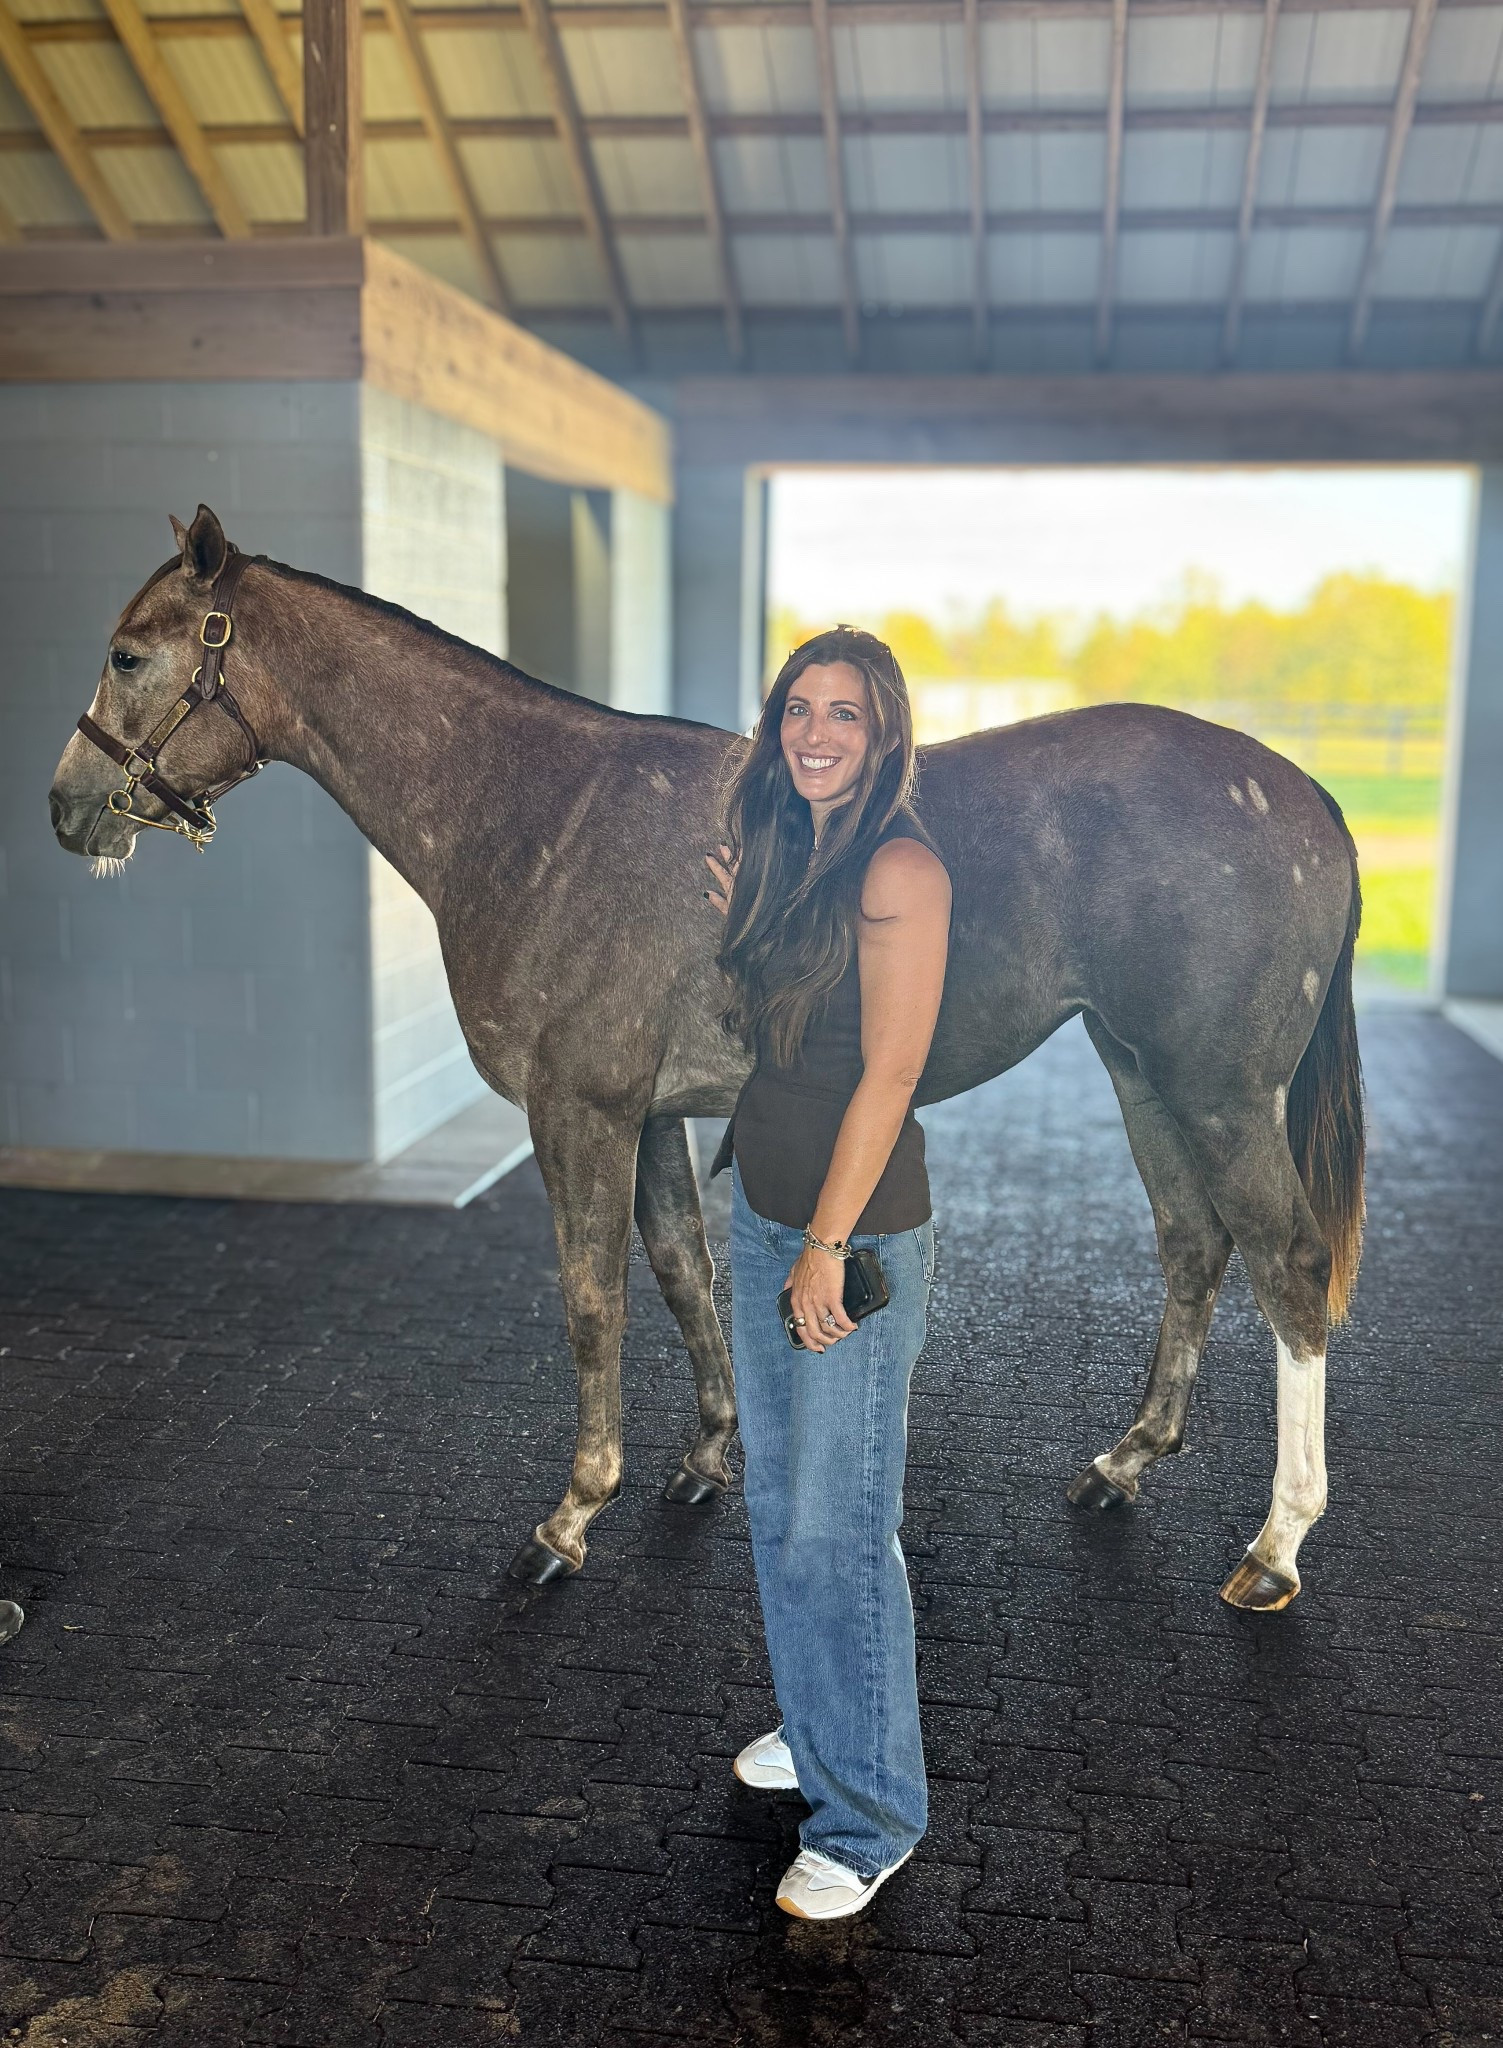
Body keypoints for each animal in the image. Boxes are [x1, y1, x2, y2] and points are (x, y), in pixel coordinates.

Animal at [49, 506, 1364, 1614]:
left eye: (128, 653)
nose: (68, 807)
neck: (531, 815)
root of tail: (1303, 792)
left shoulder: (579, 1109)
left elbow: (592, 1300)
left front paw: (570, 1516)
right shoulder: (652, 1113)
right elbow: (683, 1267)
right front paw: (703, 1455)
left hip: (1220, 1092)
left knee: (1290, 1266)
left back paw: (1277, 1544)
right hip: (1142, 1071)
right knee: (1194, 1246)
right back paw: (1123, 1461)